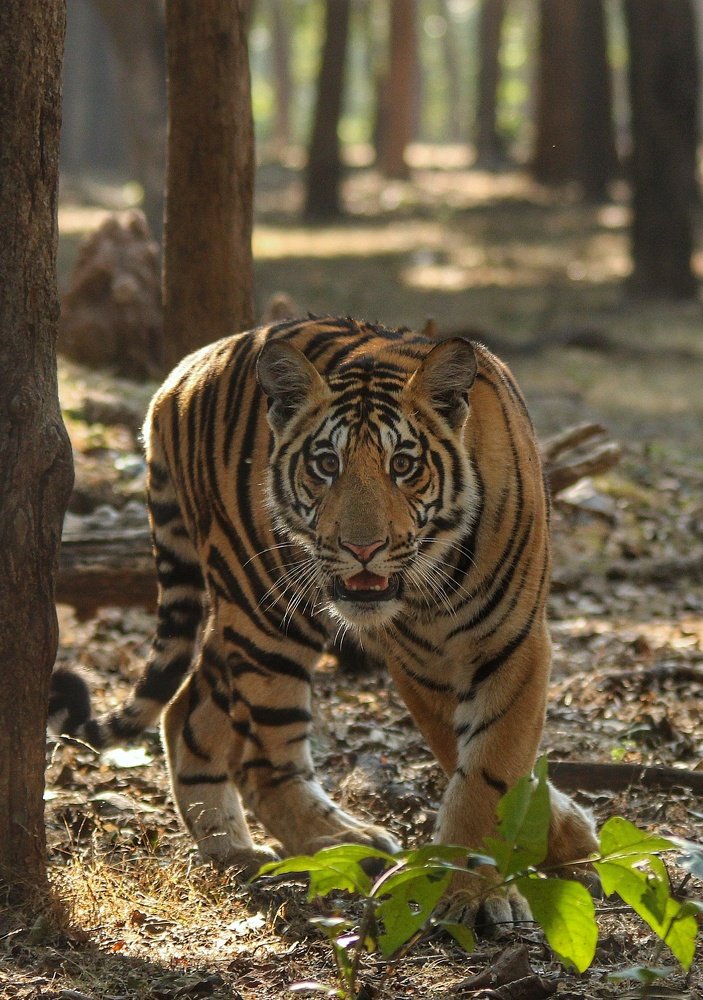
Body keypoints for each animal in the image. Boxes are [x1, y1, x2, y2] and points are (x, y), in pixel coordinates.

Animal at [57, 315, 597, 929]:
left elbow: (496, 761)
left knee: (186, 709)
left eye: (403, 465)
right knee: (262, 760)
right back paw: (337, 841)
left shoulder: (514, 640)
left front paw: (544, 844)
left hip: (248, 610)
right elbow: (472, 764)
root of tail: (183, 371)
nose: (362, 548)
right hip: (268, 608)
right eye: (326, 464)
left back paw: (233, 847)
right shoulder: (421, 658)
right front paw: (475, 890)